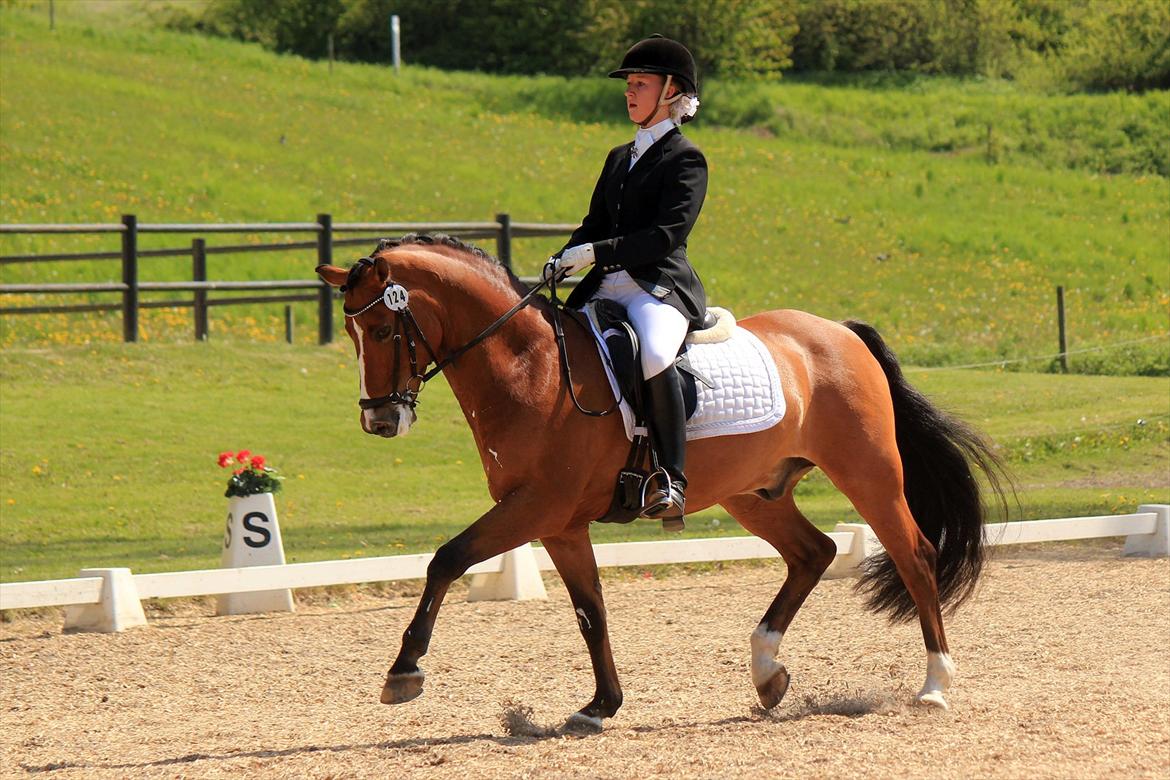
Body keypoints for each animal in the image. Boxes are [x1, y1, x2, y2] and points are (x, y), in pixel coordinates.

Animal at [315, 234, 1007, 731]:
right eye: (349, 331)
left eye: (382, 329)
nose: (380, 420)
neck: (531, 366)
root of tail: (840, 331)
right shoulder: (560, 523)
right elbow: (590, 611)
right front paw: (601, 706)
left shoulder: (536, 506)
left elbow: (447, 559)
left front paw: (404, 673)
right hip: (753, 493)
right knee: (814, 552)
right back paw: (767, 673)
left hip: (869, 473)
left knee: (915, 556)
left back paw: (935, 687)